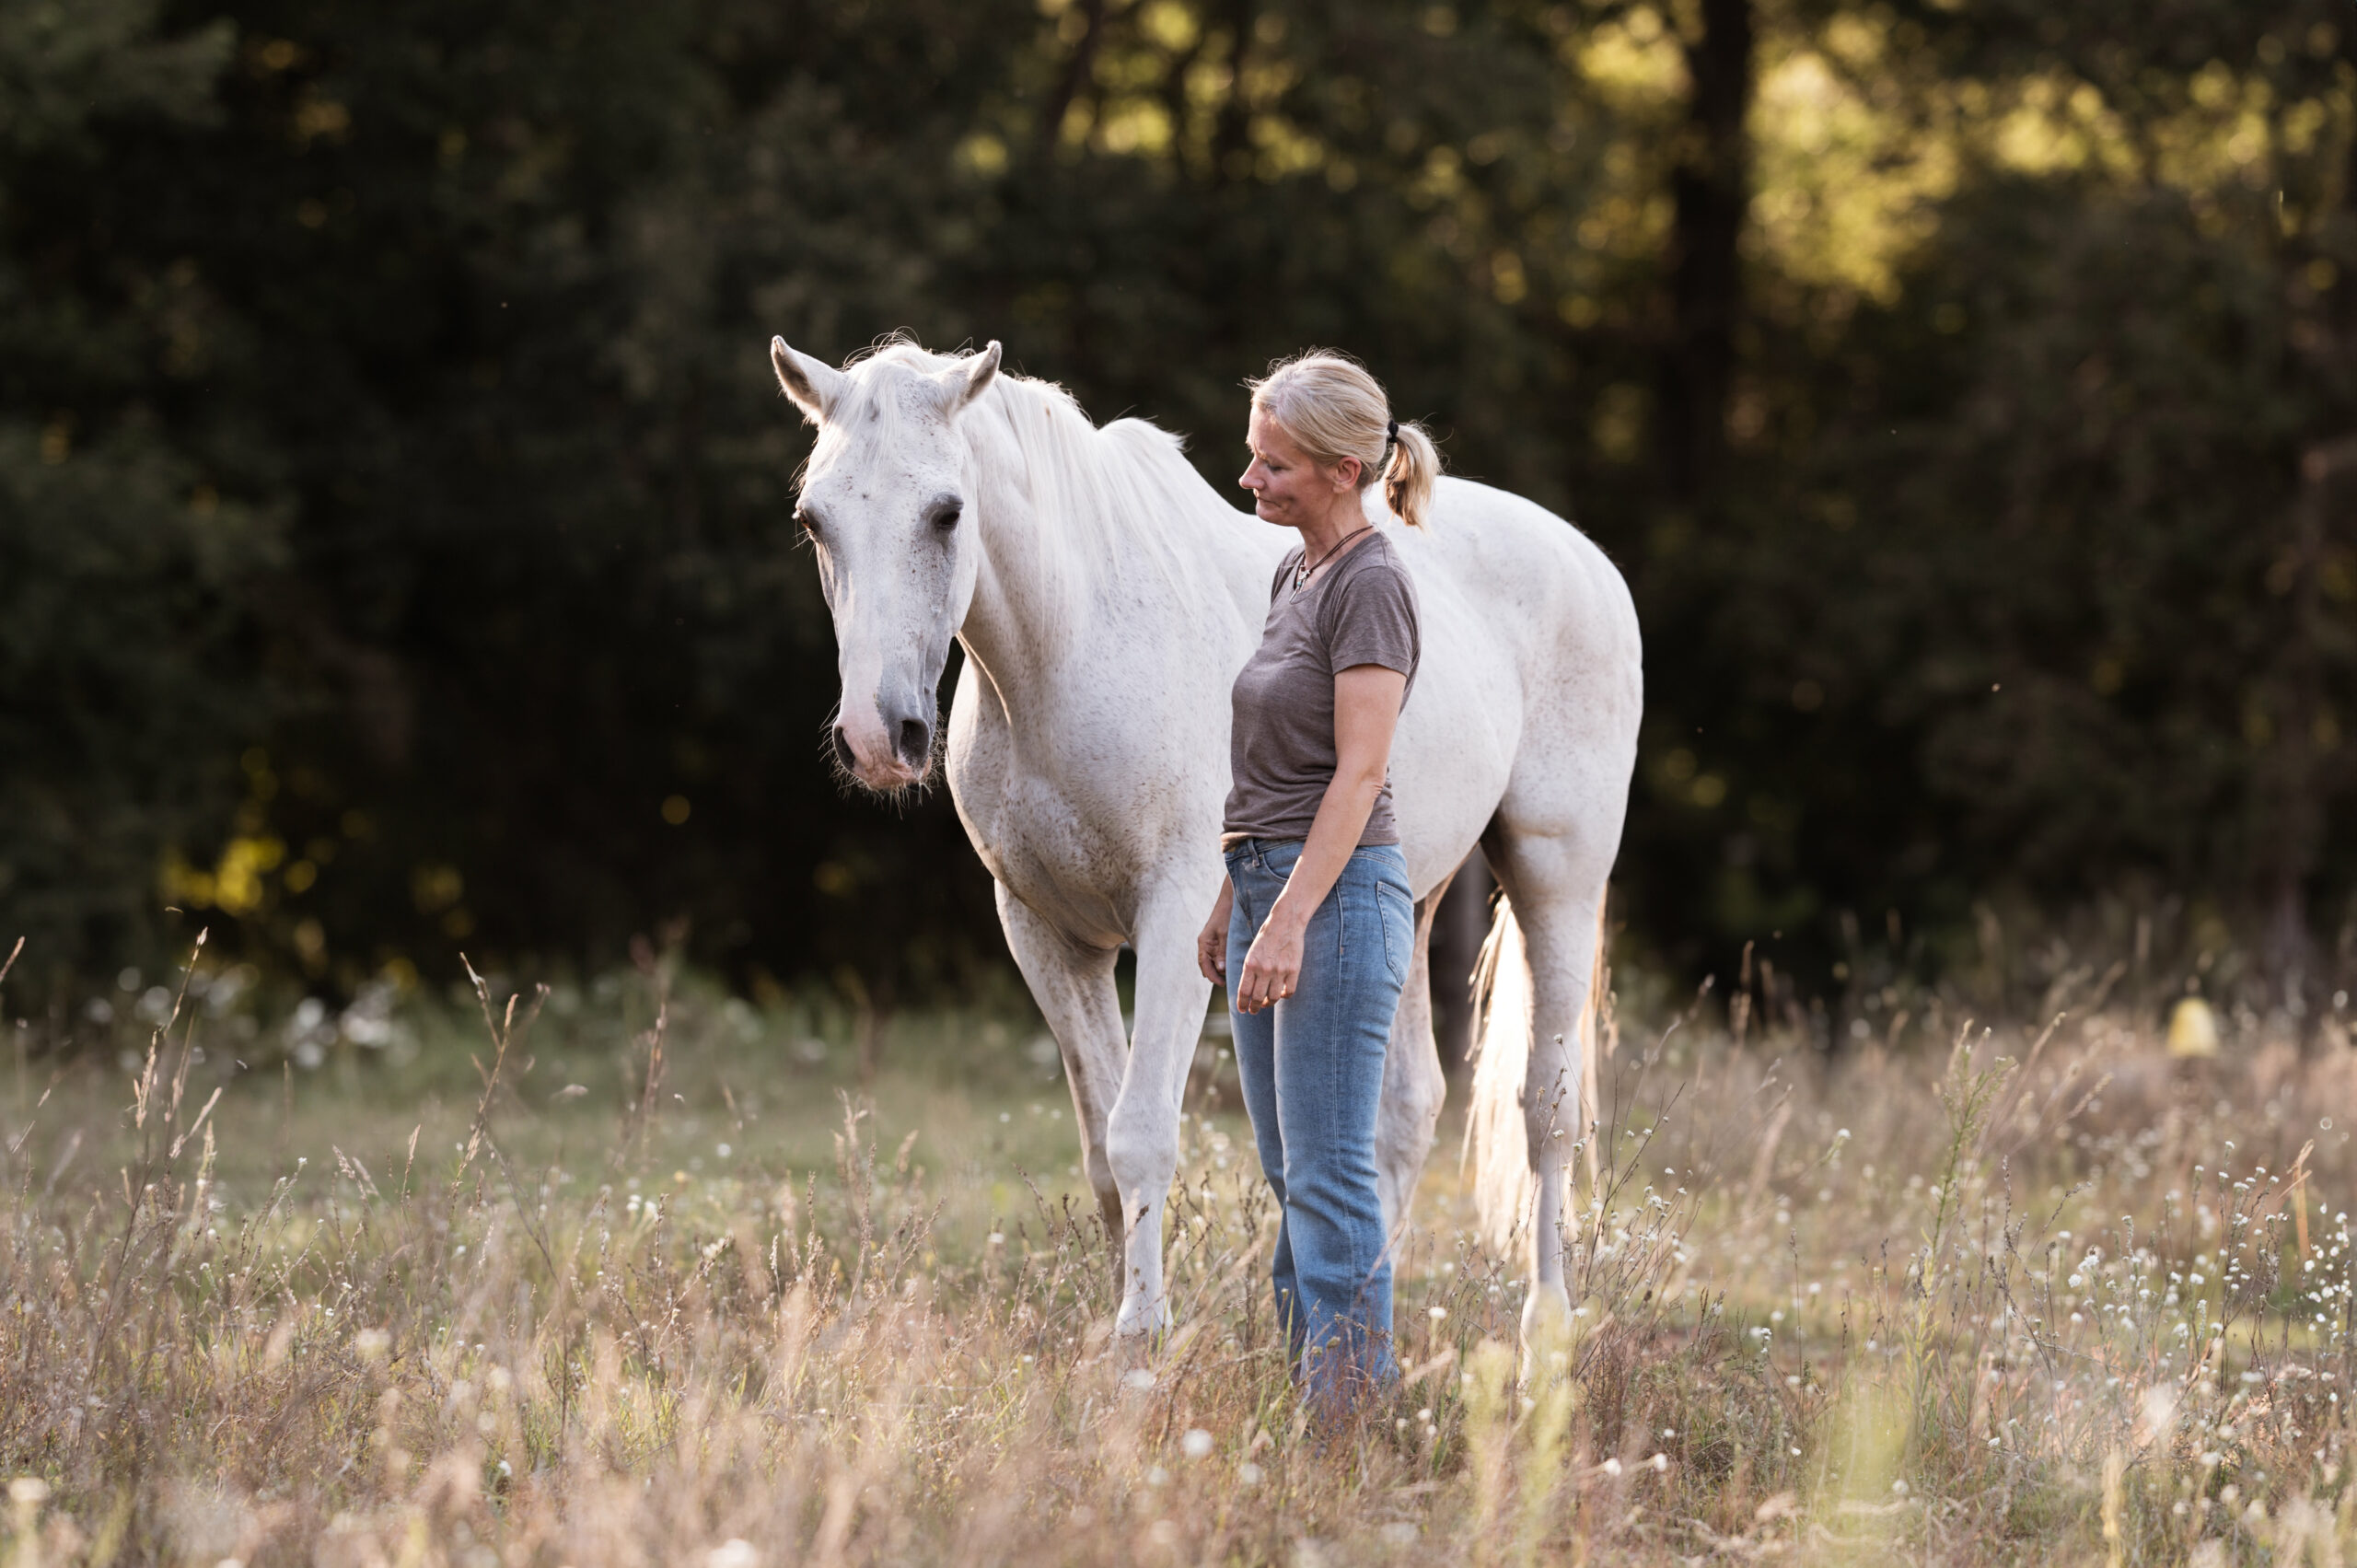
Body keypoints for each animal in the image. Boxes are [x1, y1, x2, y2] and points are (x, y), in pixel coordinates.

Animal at [769, 334, 1641, 1343]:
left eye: (947, 512)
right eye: (814, 520)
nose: (878, 737)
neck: (1070, 647)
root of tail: (1587, 559)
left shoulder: (1179, 918)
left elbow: (1142, 1132)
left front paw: (1141, 1341)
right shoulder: (1044, 934)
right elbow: (1102, 1152)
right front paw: (1122, 1332)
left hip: (1556, 874)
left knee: (1546, 1108)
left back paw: (1544, 1329)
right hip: (1407, 895)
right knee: (1402, 1110)